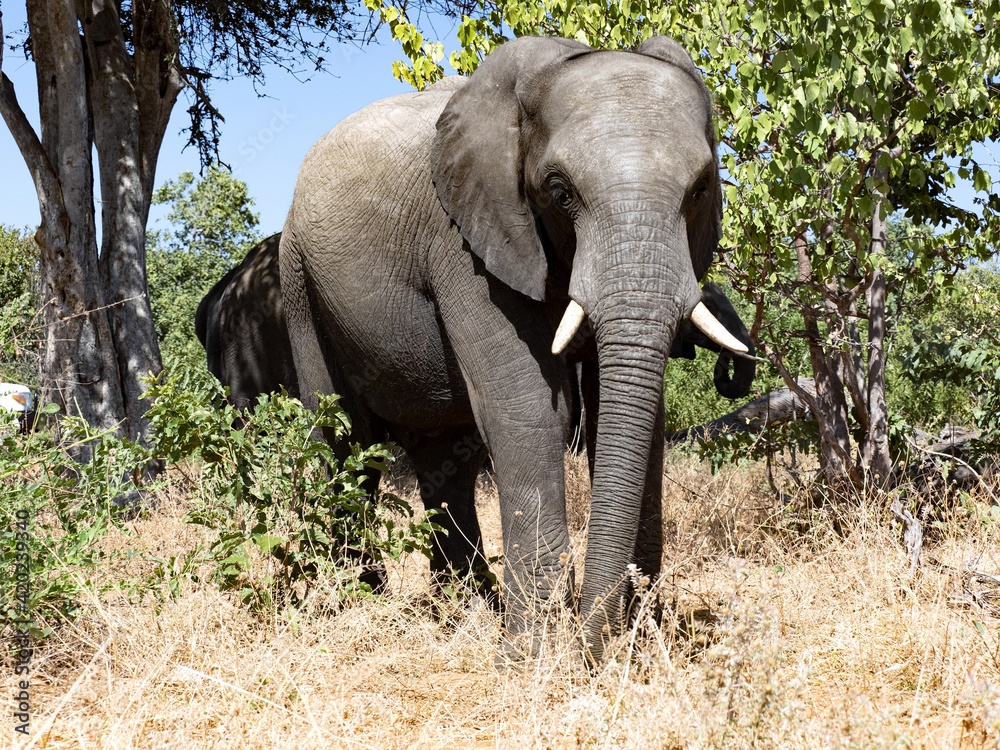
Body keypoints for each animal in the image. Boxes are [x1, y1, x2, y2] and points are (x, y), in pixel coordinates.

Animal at [279, 36, 751, 664]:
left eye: (700, 189)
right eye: (559, 191)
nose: (602, 646)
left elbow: (629, 414)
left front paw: (628, 640)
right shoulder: (465, 240)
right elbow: (529, 408)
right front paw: (534, 657)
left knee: (441, 457)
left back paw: (464, 606)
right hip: (299, 283)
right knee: (340, 441)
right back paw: (358, 602)